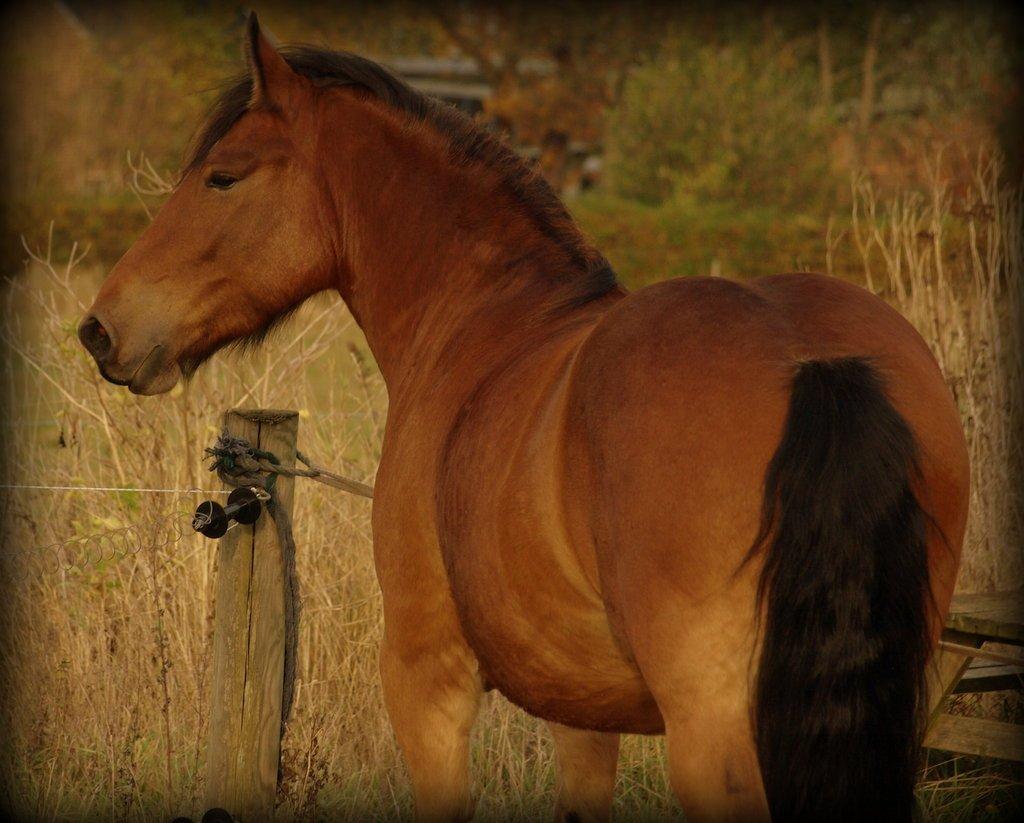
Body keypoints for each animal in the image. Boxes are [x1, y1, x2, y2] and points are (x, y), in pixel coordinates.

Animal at [77, 14, 966, 823]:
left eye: (222, 178)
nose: (101, 329)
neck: (486, 319)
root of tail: (811, 358)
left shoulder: (428, 682)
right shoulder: (583, 713)